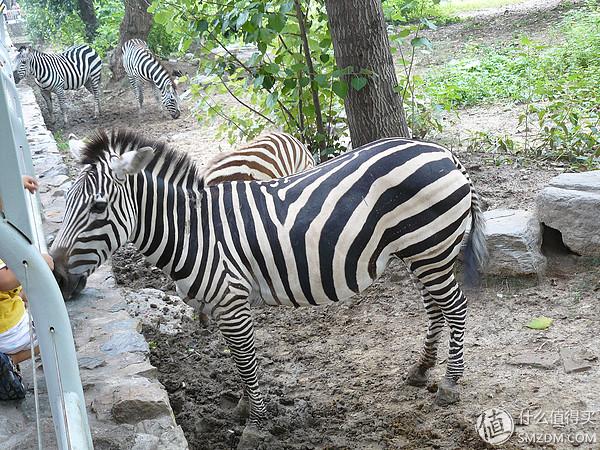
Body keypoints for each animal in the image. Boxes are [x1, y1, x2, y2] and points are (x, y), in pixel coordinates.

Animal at [51, 128, 488, 438]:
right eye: (67, 202)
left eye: (98, 207)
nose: (57, 278)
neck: (194, 231)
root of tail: (445, 153)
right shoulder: (222, 304)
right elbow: (236, 359)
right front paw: (245, 408)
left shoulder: (230, 300)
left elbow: (246, 362)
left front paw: (256, 426)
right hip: (420, 251)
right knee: (435, 307)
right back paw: (421, 369)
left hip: (430, 246)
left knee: (455, 307)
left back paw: (449, 384)